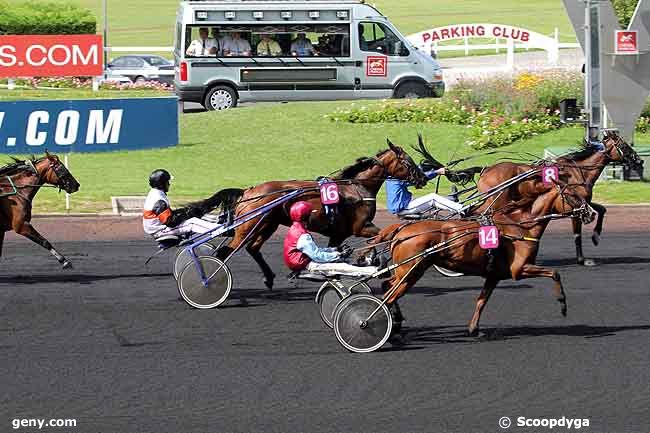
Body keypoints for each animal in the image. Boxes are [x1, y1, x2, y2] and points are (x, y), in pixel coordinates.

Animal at [214, 140, 426, 288]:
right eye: (408, 161)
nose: (422, 178)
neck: (357, 188)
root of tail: (247, 192)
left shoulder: (338, 234)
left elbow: (336, 253)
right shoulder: (360, 227)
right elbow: (379, 236)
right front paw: (370, 259)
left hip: (267, 224)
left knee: (253, 248)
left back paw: (269, 278)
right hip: (249, 226)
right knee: (225, 251)